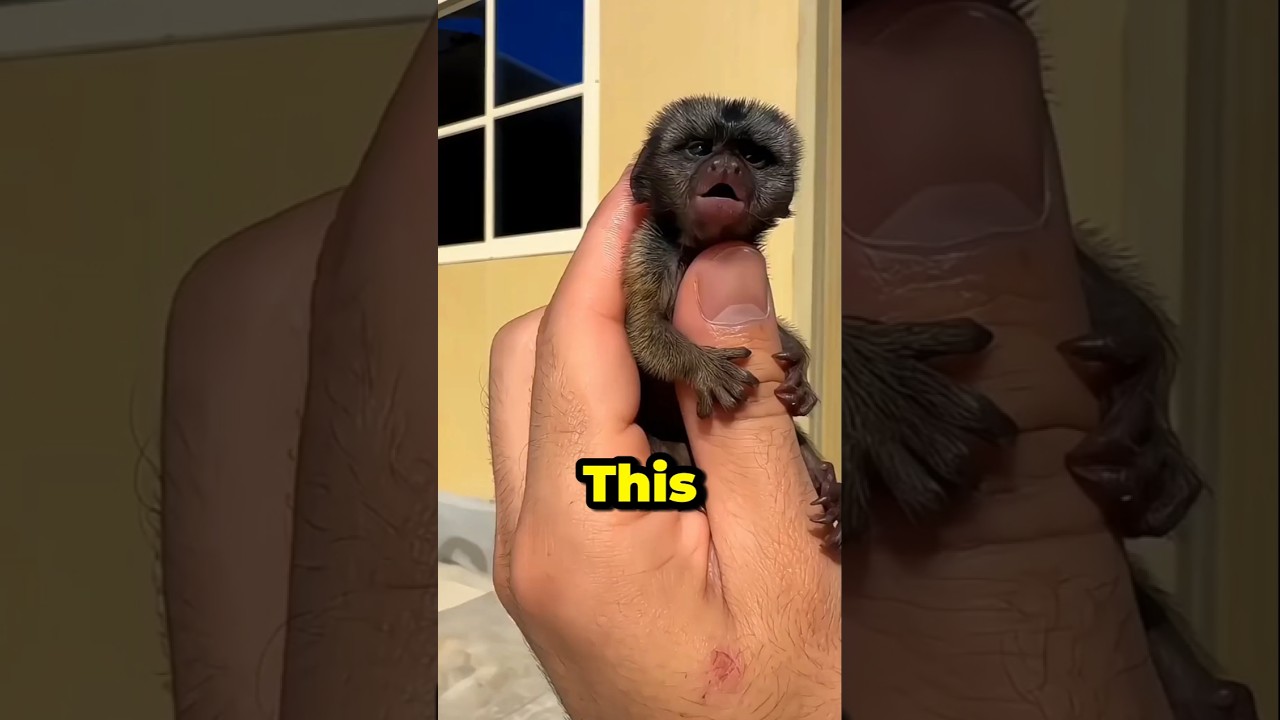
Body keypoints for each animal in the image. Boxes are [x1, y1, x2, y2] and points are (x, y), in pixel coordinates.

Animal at [621, 95, 842, 547]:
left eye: (752, 157)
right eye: (700, 149)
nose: (726, 166)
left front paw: (800, 369)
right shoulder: (650, 250)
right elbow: (644, 333)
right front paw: (706, 369)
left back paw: (822, 478)